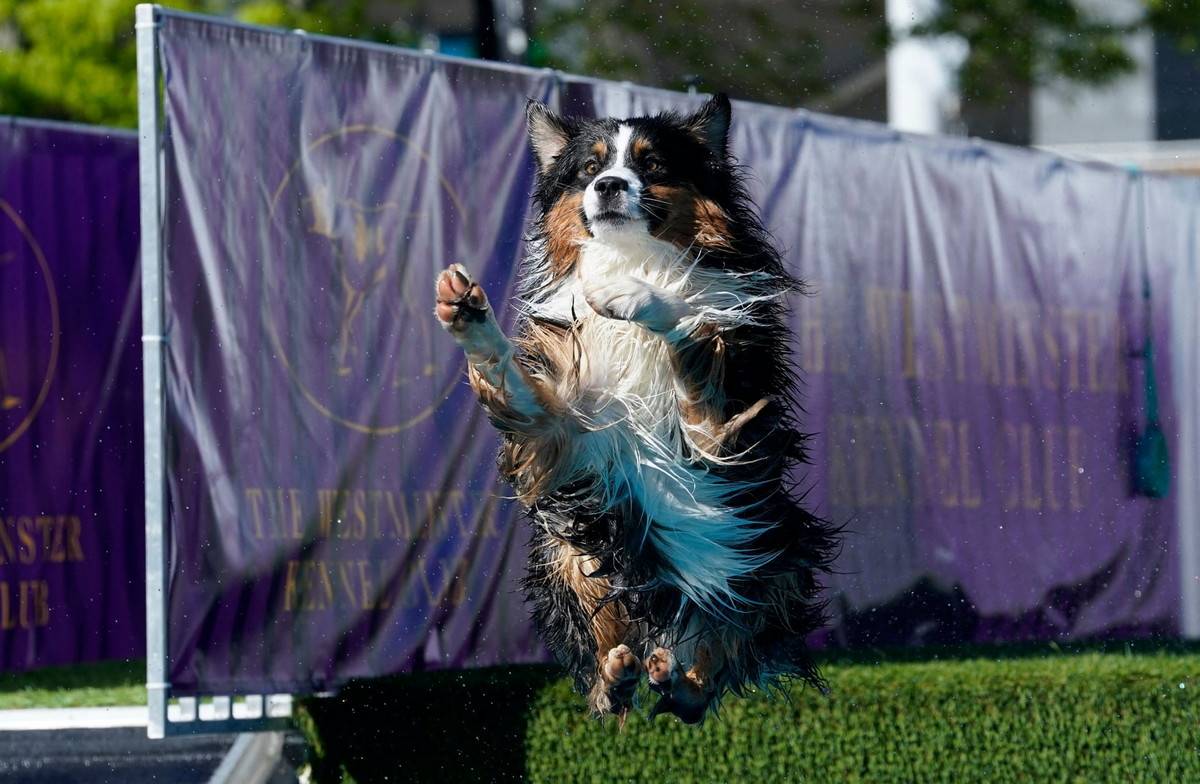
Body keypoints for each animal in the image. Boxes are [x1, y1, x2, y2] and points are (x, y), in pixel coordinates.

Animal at [436, 91, 840, 720]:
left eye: (651, 165)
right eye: (588, 168)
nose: (608, 185)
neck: (634, 255)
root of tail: (664, 608)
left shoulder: (723, 429)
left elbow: (688, 324)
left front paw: (639, 298)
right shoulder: (562, 427)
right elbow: (512, 376)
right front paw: (470, 317)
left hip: (776, 559)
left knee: (706, 682)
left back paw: (677, 678)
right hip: (568, 549)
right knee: (613, 666)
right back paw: (618, 675)